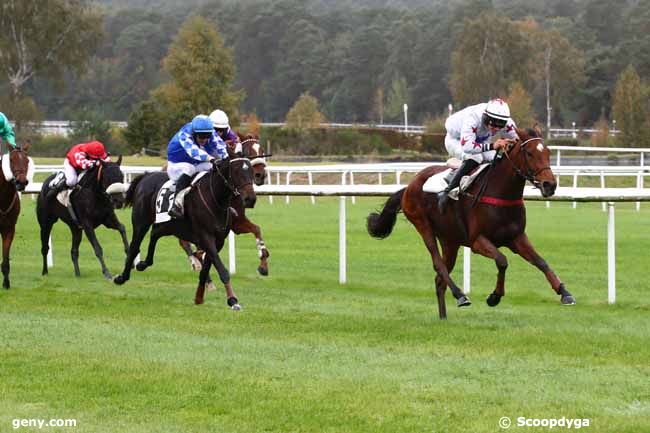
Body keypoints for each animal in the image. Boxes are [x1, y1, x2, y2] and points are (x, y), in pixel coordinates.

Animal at [111, 147, 256, 308]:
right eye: (236, 171)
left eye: (251, 171)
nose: (250, 199)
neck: (215, 199)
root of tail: (146, 176)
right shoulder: (206, 237)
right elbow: (222, 270)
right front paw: (232, 300)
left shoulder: (218, 241)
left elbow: (205, 270)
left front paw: (199, 297)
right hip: (141, 223)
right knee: (134, 247)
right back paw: (122, 277)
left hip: (169, 226)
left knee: (155, 233)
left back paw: (143, 264)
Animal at [177, 132, 270, 274]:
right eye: (248, 152)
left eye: (262, 150)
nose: (260, 175)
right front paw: (200, 257)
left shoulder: (237, 222)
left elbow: (257, 229)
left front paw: (263, 265)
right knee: (183, 241)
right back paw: (195, 262)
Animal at [368, 126, 576, 318]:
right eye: (530, 153)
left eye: (548, 152)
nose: (550, 185)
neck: (500, 194)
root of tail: (409, 186)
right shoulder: (477, 241)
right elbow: (502, 261)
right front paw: (494, 296)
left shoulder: (516, 237)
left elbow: (541, 262)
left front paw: (564, 292)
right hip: (423, 226)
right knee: (438, 264)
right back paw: (461, 295)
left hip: (450, 240)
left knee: (439, 279)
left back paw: (443, 317)